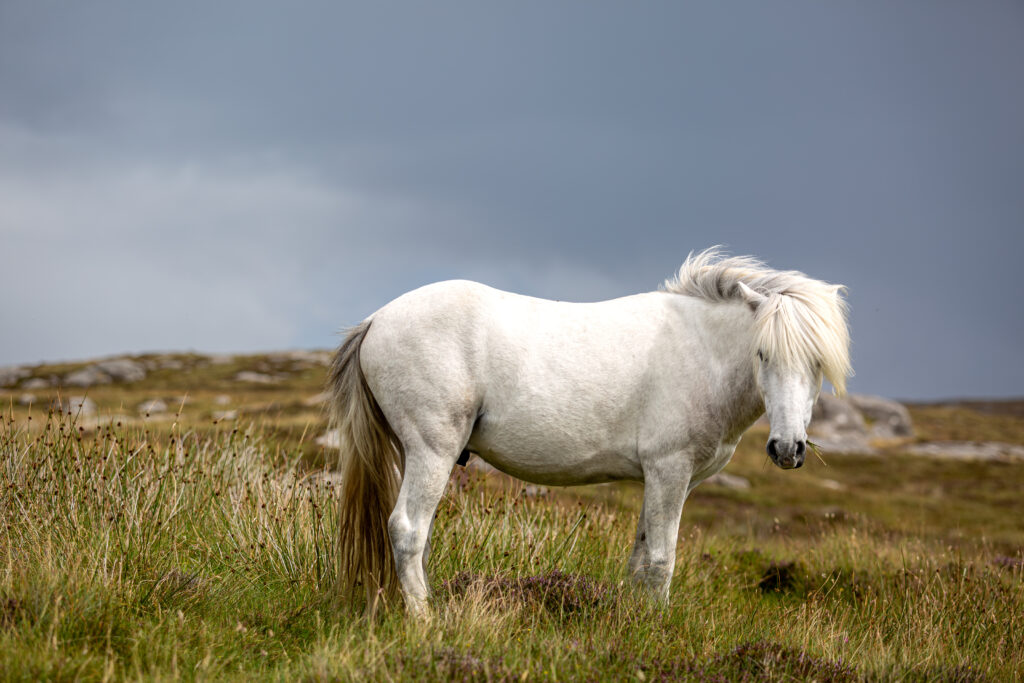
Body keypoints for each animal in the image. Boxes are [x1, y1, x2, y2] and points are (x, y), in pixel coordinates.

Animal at [327, 248, 847, 610]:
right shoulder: (669, 471)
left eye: (818, 363)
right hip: (431, 451)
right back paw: (425, 619)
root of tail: (376, 320)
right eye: (763, 353)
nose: (787, 449)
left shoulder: (661, 481)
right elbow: (662, 561)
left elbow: (641, 557)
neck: (700, 349)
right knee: (407, 529)